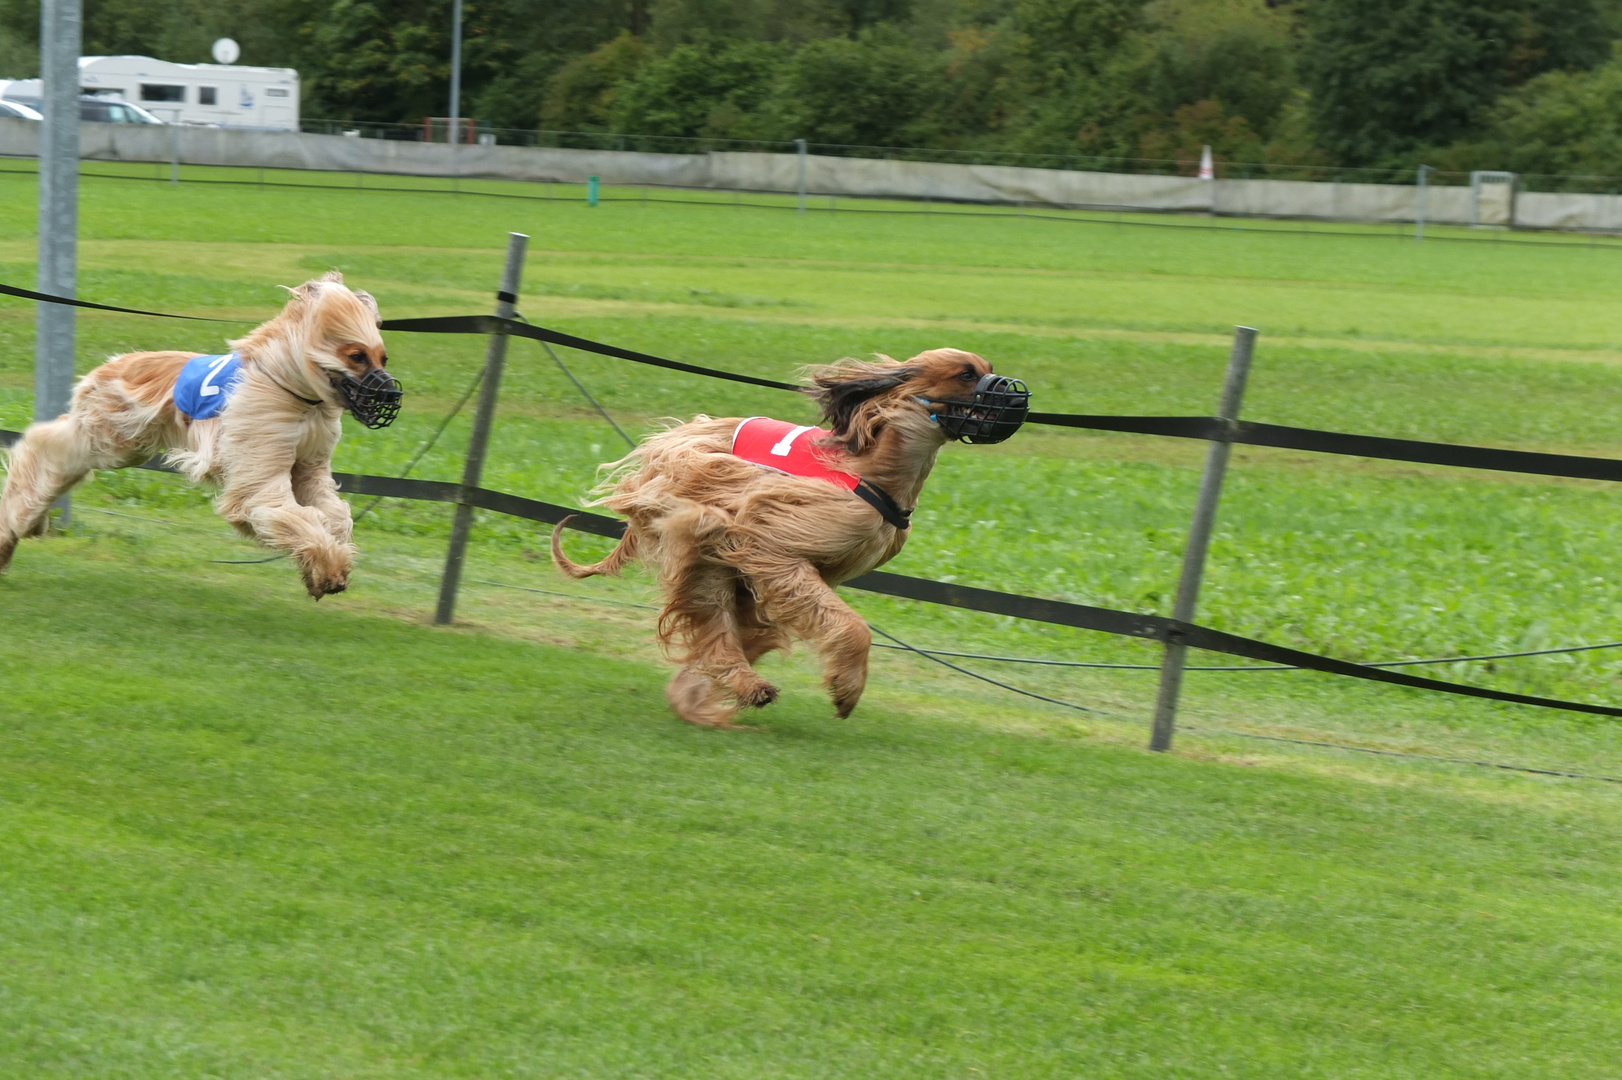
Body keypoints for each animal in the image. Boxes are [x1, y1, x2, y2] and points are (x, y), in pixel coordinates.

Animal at [0, 264, 402, 593]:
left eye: (382, 358)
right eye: (356, 356)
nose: (392, 393)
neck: (296, 392)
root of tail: (114, 363)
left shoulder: (308, 466)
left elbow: (332, 513)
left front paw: (329, 563)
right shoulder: (260, 464)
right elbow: (288, 511)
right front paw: (327, 568)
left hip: (124, 442)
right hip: (110, 435)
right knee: (42, 446)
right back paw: (13, 526)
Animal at [548, 348, 1025, 726]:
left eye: (988, 369)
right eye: (966, 374)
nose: (1018, 396)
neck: (878, 471)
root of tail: (673, 439)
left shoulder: (807, 566)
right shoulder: (771, 538)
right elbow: (852, 625)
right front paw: (846, 687)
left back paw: (708, 691)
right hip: (700, 525)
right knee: (713, 598)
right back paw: (736, 685)